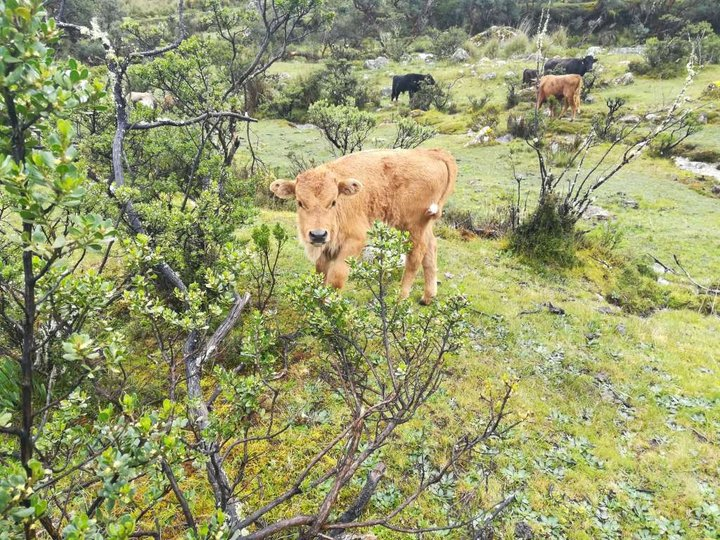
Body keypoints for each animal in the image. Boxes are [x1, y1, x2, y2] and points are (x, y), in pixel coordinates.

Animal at [268, 148, 458, 304]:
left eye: (333, 202)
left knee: (415, 256)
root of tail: (433, 153)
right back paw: (427, 297)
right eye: (300, 202)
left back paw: (400, 298)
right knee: (431, 248)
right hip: (425, 224)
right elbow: (321, 271)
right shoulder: (327, 247)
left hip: (413, 226)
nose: (318, 234)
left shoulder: (354, 240)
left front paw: (330, 303)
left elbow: (337, 276)